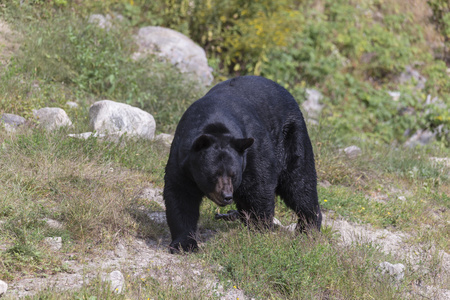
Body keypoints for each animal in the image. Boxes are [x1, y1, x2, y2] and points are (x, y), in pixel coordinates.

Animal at [163, 75, 322, 253]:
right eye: (214, 175)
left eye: (233, 175)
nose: (226, 196)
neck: (215, 123)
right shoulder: (182, 159)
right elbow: (181, 197)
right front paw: (184, 244)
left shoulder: (253, 153)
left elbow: (259, 189)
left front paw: (259, 231)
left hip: (291, 138)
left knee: (299, 184)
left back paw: (308, 229)